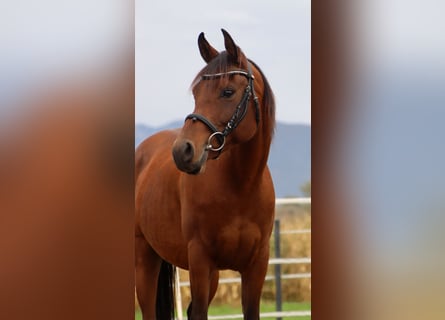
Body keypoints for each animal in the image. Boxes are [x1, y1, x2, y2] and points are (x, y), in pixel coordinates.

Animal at [134, 28, 274, 318]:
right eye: (196, 92)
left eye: (228, 91)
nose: (183, 151)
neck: (241, 187)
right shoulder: (199, 261)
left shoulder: (256, 266)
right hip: (144, 257)